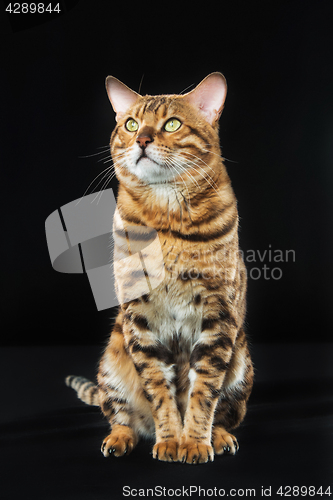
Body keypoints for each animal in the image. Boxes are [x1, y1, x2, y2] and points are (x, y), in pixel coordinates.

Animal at [66, 73, 253, 464]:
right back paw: (120, 438)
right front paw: (170, 440)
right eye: (130, 124)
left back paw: (220, 437)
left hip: (241, 360)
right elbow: (159, 390)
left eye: (171, 124)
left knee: (225, 412)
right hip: (113, 356)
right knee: (121, 415)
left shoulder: (219, 316)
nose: (142, 139)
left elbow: (203, 393)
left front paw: (194, 442)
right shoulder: (140, 318)